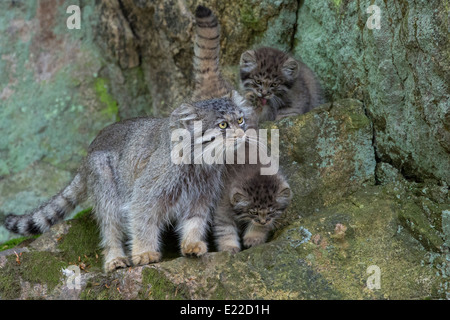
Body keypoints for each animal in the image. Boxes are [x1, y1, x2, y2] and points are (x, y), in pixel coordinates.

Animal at [3, 90, 248, 272]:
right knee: (110, 228)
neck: (200, 163)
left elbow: (195, 221)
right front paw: (144, 252)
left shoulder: (201, 196)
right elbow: (143, 222)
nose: (243, 135)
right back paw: (114, 258)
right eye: (223, 125)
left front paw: (191, 244)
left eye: (240, 120)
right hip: (107, 188)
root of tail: (87, 155)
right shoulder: (146, 193)